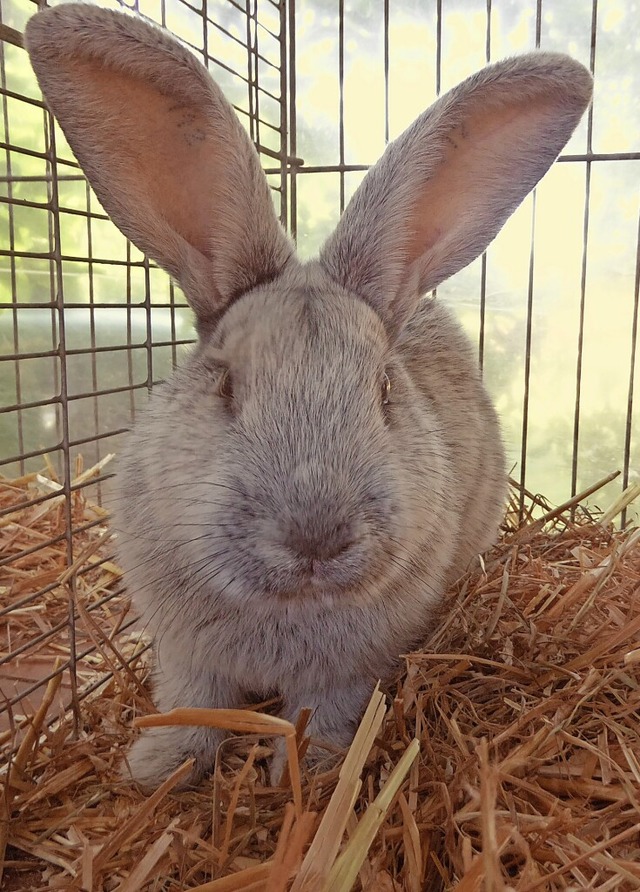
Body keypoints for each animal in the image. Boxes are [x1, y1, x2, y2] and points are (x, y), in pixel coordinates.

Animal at [26, 5, 596, 788]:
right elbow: (193, 704)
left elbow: (320, 716)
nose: (316, 538)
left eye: (384, 389)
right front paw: (156, 769)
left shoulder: (349, 672)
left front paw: (312, 772)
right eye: (225, 383)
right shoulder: (185, 653)